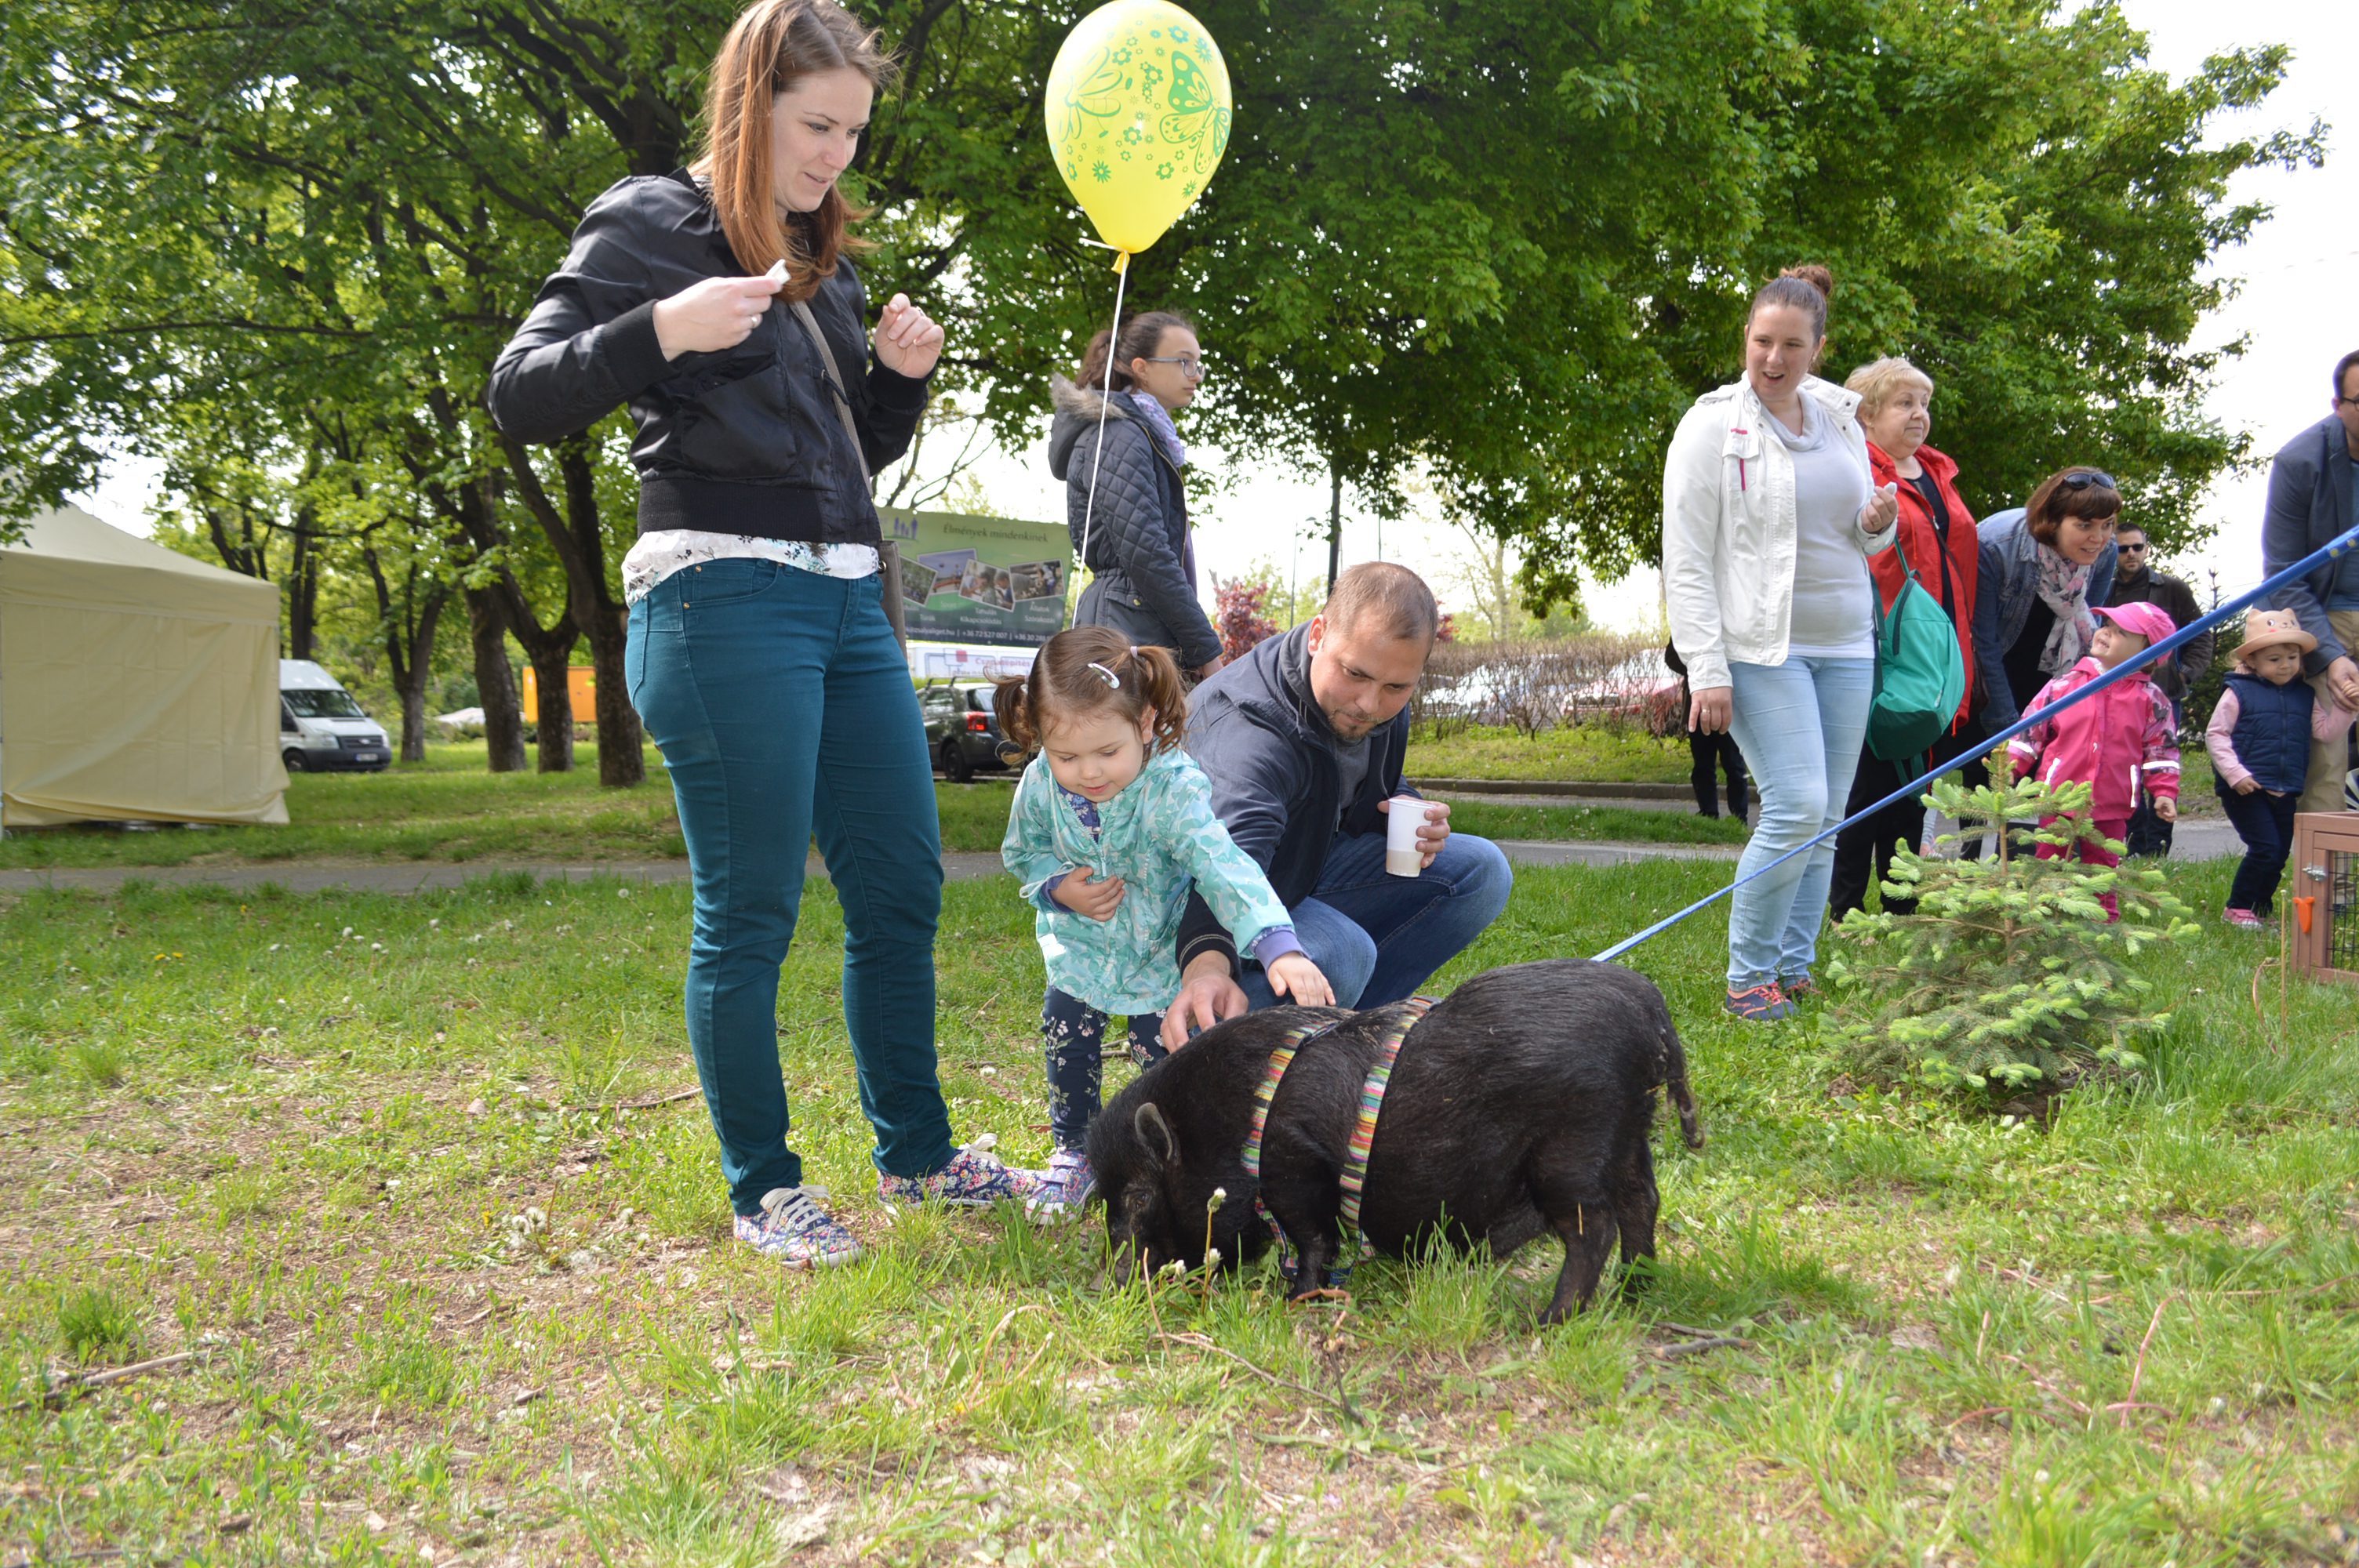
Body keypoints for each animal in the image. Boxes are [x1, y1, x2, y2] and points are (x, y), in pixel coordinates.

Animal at [1085, 953, 1698, 1320]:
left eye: (1138, 1196)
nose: (1110, 1284)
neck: (1239, 1123)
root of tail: (1651, 1014)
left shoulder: (1294, 1166)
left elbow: (1313, 1238)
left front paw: (1295, 1299)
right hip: (1631, 1134)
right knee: (1644, 1202)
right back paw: (1635, 1293)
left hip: (1574, 1146)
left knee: (1594, 1228)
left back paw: (1548, 1322)